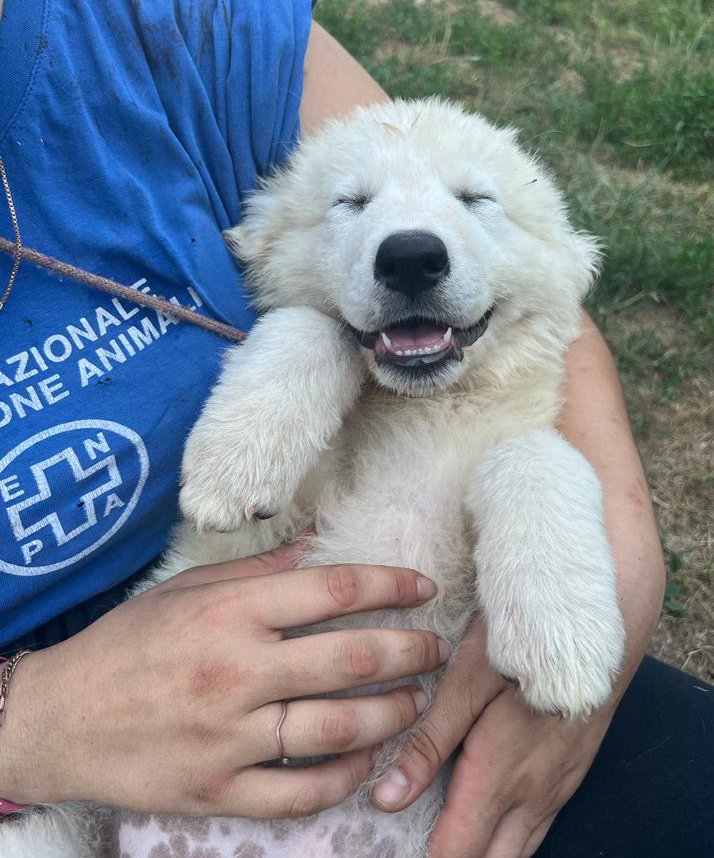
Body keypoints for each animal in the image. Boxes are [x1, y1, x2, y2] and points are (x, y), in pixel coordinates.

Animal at [2, 100, 620, 856]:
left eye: (477, 199)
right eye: (350, 203)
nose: (410, 256)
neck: (420, 410)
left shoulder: (516, 434)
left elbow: (539, 456)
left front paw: (563, 642)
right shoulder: (245, 546)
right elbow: (306, 325)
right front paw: (235, 458)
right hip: (50, 829)